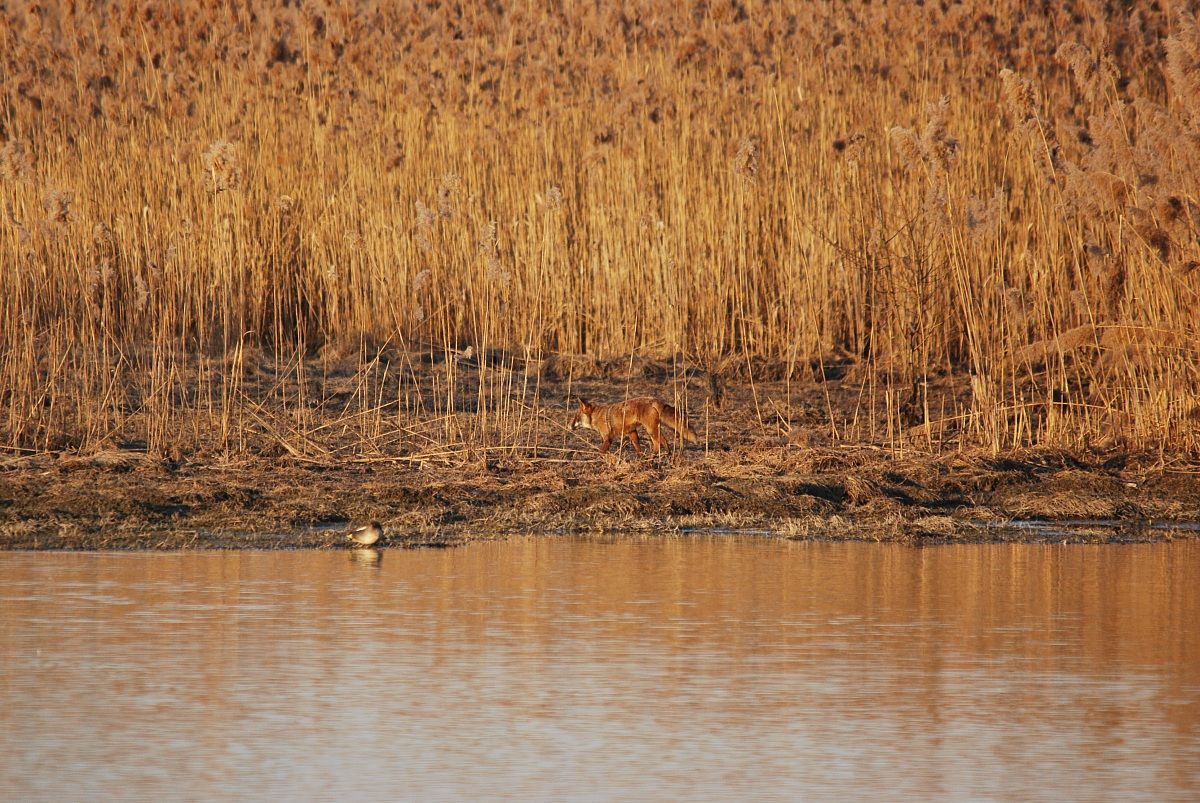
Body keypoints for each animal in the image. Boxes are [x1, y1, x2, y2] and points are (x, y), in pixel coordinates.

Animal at [570, 396, 700, 456]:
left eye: (576, 417)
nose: (569, 426)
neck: (596, 416)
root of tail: (654, 399)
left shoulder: (608, 438)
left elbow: (601, 451)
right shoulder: (631, 431)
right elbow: (638, 447)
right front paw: (641, 457)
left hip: (651, 430)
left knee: (661, 443)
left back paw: (661, 455)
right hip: (652, 430)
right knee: (660, 444)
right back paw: (655, 457)